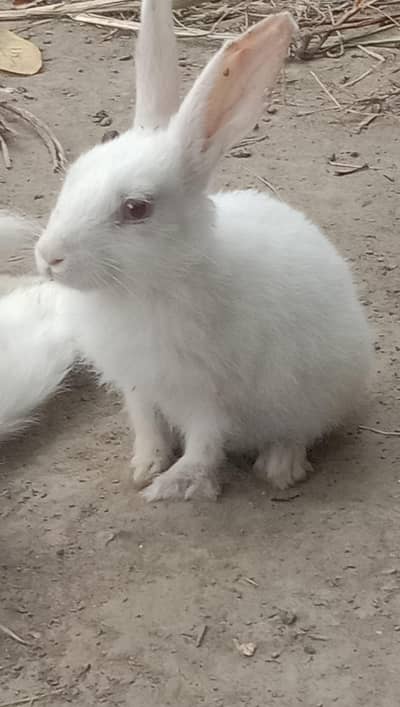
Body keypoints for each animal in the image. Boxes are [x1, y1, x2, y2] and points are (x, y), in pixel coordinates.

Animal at [35, 1, 373, 501]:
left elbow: (204, 443)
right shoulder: (140, 389)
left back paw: (280, 467)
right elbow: (148, 428)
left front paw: (171, 486)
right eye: (74, 175)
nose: (49, 257)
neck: (151, 285)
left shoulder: (206, 395)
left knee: (301, 431)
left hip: (317, 392)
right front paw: (144, 468)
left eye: (136, 208)